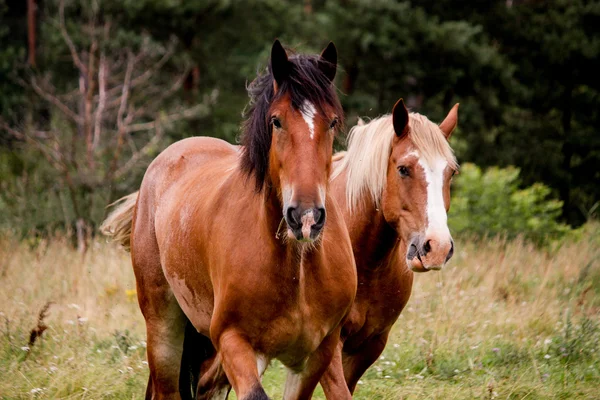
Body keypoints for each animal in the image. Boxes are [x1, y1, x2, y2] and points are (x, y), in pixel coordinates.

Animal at [101, 41, 356, 400]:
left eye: (332, 122)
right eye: (276, 121)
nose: (305, 218)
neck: (297, 270)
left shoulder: (316, 355)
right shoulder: (234, 341)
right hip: (163, 328)